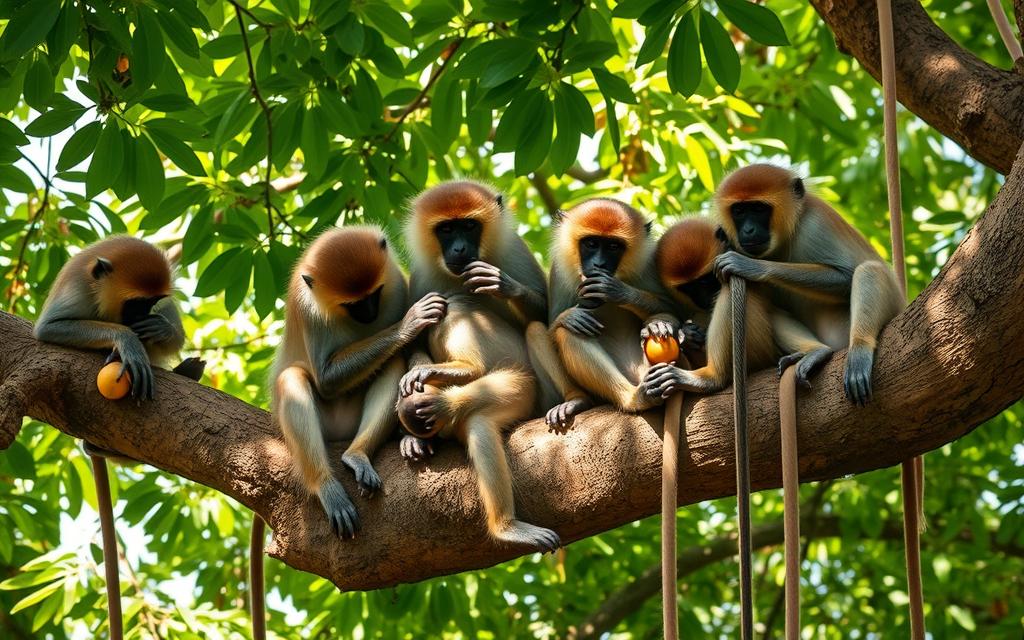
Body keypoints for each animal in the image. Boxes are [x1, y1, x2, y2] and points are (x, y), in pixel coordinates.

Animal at [270, 224, 446, 532]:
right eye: (352, 304)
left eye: (374, 294)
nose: (370, 314)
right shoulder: (306, 306)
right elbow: (326, 379)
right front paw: (409, 322)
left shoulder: (396, 283)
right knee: (292, 377)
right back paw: (327, 487)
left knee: (392, 361)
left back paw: (358, 455)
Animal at [397, 178, 565, 548]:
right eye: (446, 230)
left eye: (470, 226)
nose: (460, 249)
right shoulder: (421, 276)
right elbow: (415, 339)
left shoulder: (514, 249)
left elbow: (543, 311)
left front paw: (502, 284)